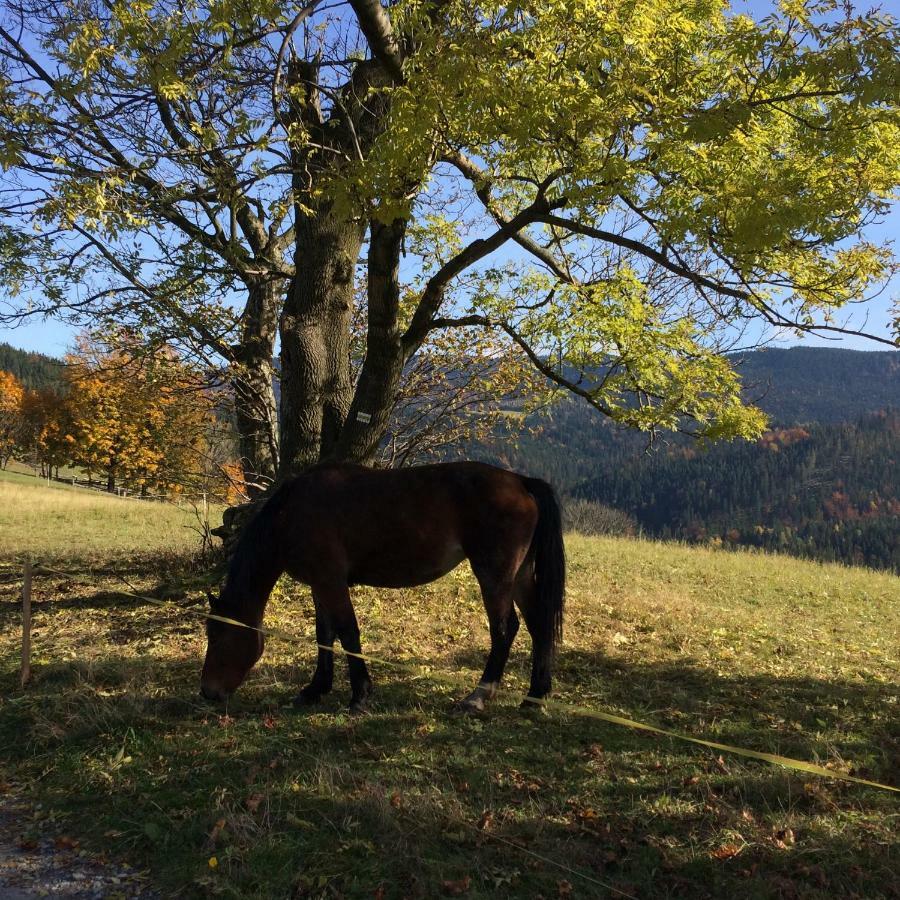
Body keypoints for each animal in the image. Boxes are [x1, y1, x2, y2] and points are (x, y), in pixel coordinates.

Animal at [200, 460, 568, 712]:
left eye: (218, 637)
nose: (207, 692)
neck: (291, 515)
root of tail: (521, 482)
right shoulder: (320, 585)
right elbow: (325, 635)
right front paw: (316, 689)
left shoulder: (331, 582)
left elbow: (347, 633)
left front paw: (359, 696)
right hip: (520, 576)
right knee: (538, 625)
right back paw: (534, 697)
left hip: (495, 575)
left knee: (505, 629)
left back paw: (478, 696)